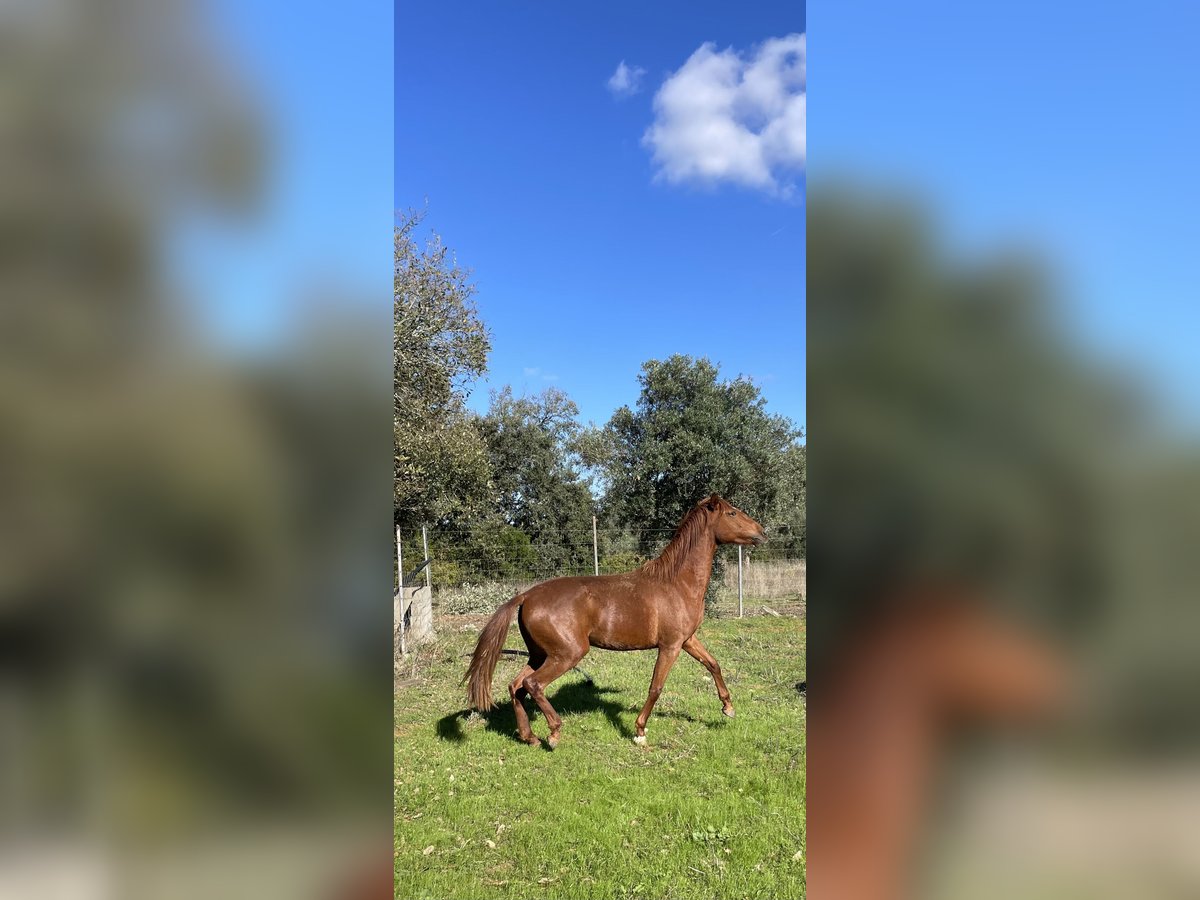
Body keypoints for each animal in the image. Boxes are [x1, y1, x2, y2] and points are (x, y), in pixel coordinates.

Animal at [463, 494, 763, 748]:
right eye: (732, 512)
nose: (761, 532)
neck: (676, 583)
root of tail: (527, 595)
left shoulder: (687, 640)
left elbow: (713, 664)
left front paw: (728, 708)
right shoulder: (670, 646)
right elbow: (656, 687)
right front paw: (640, 732)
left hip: (540, 654)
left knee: (516, 686)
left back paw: (530, 737)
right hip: (567, 654)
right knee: (532, 684)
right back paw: (554, 732)